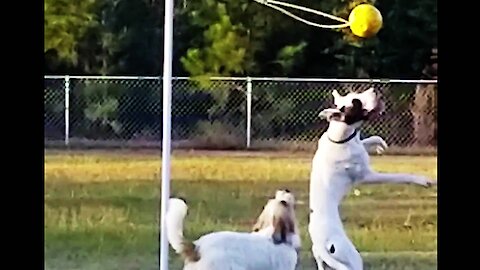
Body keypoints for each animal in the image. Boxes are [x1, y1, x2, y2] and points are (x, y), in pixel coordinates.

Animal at [308, 88, 436, 270]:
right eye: (356, 102)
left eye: (355, 94)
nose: (374, 90)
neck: (340, 137)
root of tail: (320, 246)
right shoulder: (368, 176)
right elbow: (399, 177)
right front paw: (423, 180)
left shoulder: (359, 144)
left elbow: (369, 139)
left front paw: (380, 145)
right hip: (352, 257)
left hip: (325, 260)